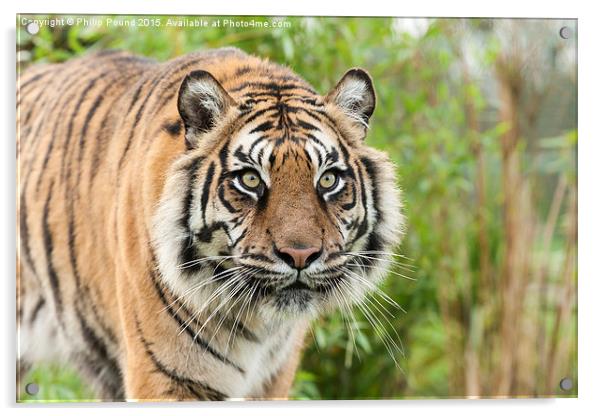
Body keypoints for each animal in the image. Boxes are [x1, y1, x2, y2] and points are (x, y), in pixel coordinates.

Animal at [17, 47, 404, 402]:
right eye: (250, 179)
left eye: (327, 180)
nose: (300, 255)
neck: (256, 327)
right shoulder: (167, 378)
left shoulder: (273, 381)